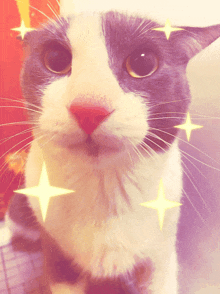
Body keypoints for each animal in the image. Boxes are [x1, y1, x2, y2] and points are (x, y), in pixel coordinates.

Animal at [6, 6, 220, 294]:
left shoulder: (160, 254)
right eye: (56, 59)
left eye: (142, 64)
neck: (104, 187)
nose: (89, 109)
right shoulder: (57, 255)